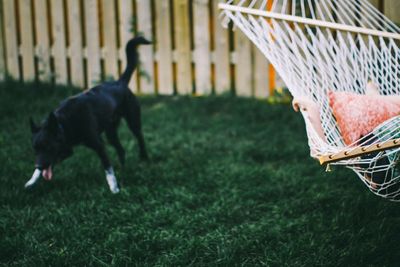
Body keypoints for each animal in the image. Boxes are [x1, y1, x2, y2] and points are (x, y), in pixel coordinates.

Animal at [26, 36, 151, 194]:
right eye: (35, 150)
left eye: (48, 147)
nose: (38, 166)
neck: (64, 123)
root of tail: (120, 82)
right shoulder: (66, 148)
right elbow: (53, 161)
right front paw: (31, 181)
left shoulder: (99, 145)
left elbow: (108, 169)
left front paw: (114, 189)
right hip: (110, 133)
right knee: (121, 150)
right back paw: (123, 170)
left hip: (133, 121)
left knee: (140, 137)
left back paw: (143, 159)